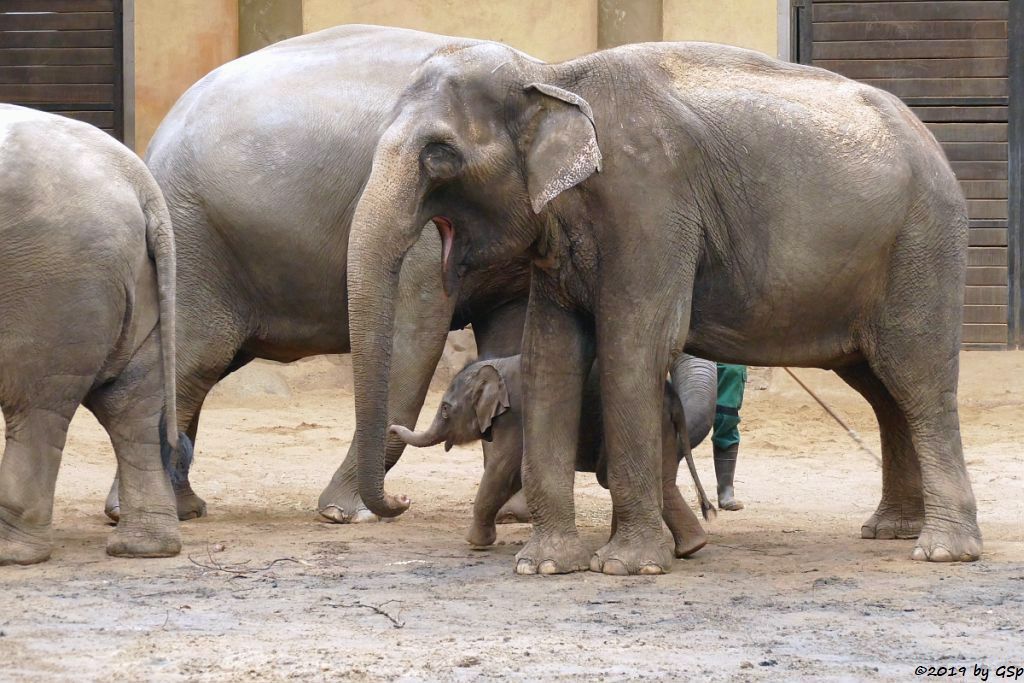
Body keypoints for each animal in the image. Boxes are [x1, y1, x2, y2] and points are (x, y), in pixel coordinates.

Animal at [0, 105, 182, 565]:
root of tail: (137, 181)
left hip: (52, 283)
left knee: (34, 408)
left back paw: (13, 552)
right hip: (132, 282)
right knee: (131, 403)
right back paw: (144, 548)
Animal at [105, 24, 528, 520]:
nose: (403, 501)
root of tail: (154, 143)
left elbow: (514, 345)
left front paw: (514, 511)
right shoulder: (426, 230)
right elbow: (414, 338)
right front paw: (345, 512)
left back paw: (179, 507)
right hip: (194, 236)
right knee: (197, 358)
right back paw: (136, 511)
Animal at [387, 356, 716, 557]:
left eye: (445, 409)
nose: (390, 427)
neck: (497, 367)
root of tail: (675, 401)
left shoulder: (517, 416)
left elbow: (504, 469)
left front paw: (475, 543)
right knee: (661, 482)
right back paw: (691, 547)